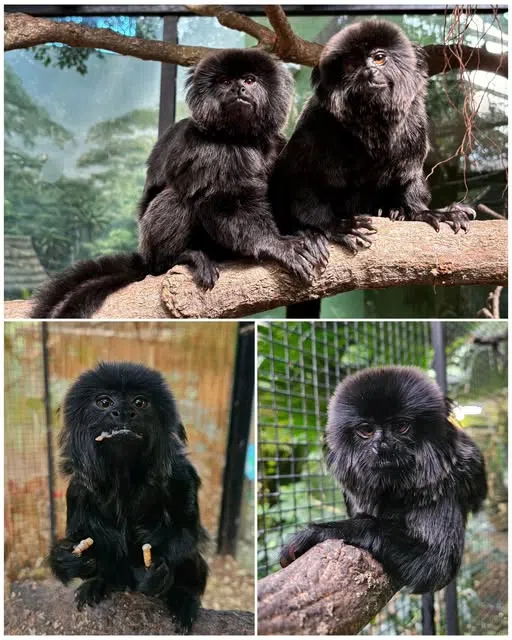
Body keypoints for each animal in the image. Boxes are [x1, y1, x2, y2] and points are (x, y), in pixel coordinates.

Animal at [31, 49, 321, 318]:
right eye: (226, 82)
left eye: (249, 80)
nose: (238, 89)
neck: (242, 139)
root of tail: (145, 257)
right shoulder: (208, 149)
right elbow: (220, 202)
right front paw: (277, 246)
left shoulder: (277, 144)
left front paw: (309, 233)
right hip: (152, 248)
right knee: (176, 199)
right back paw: (181, 257)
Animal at [49, 362, 209, 633]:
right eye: (104, 402)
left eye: (139, 402)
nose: (123, 413)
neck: (124, 476)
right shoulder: (78, 489)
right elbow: (82, 534)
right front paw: (67, 559)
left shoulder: (181, 476)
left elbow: (187, 533)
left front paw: (154, 573)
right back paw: (100, 583)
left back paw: (183, 597)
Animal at [270, 20, 476, 260]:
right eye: (352, 65)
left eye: (379, 58)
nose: (369, 71)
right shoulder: (315, 125)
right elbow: (302, 183)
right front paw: (335, 227)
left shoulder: (414, 123)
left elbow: (409, 178)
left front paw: (425, 212)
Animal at [280, 366, 487, 594]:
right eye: (367, 430)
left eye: (401, 426)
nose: (383, 445)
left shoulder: (442, 488)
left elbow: (437, 565)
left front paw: (324, 532)